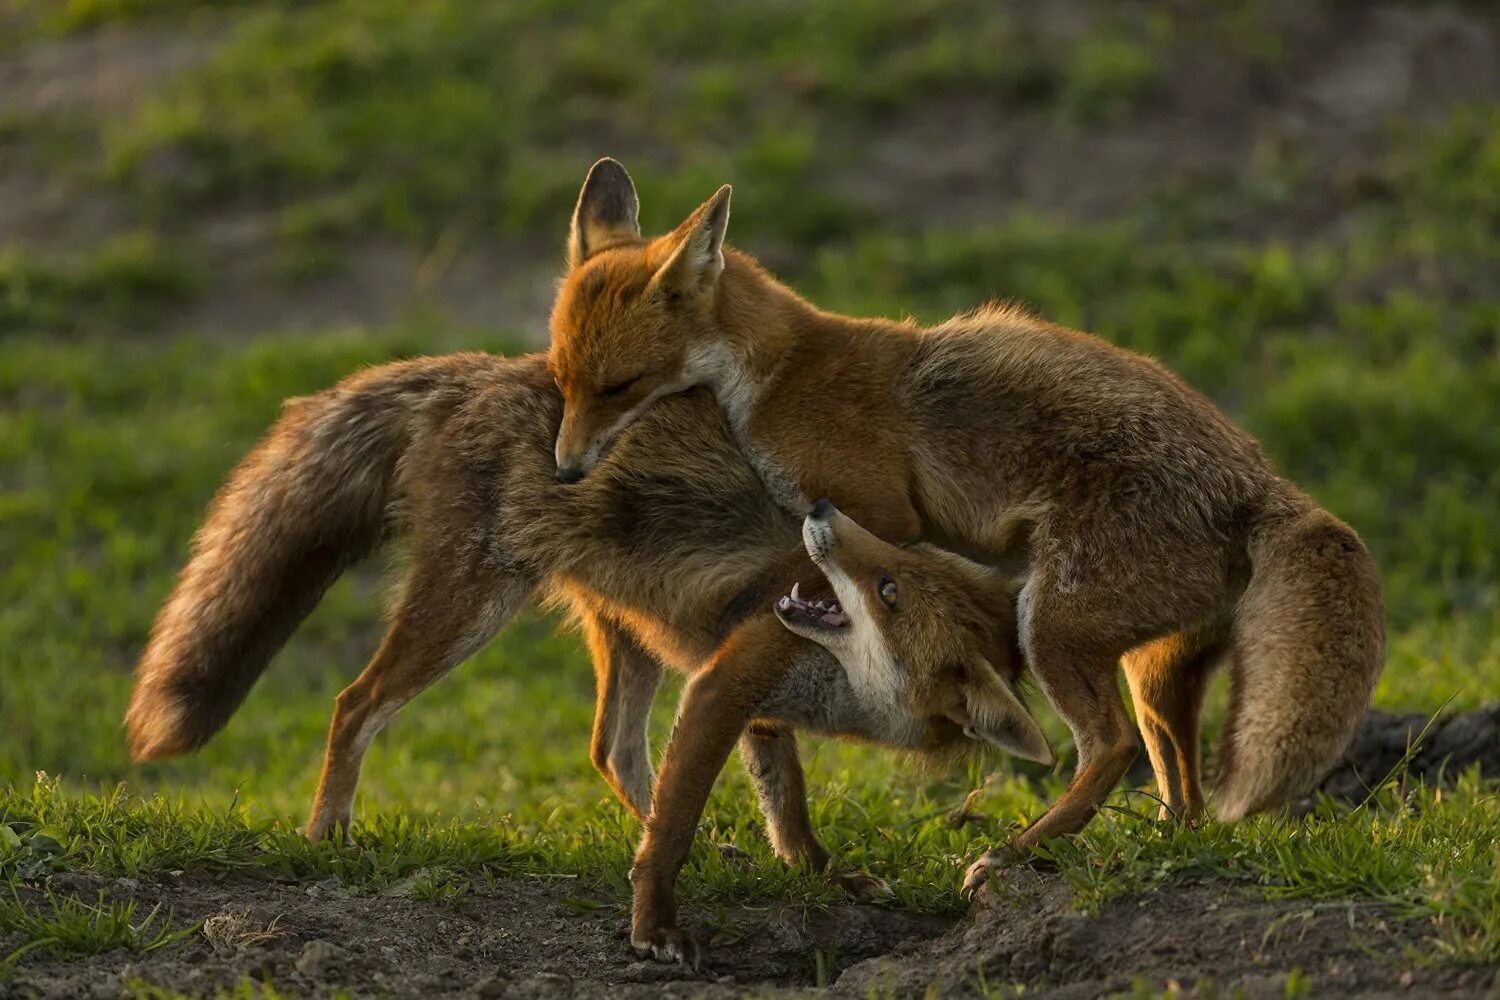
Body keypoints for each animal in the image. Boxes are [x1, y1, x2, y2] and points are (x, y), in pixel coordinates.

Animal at [123, 353, 1044, 971]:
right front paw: (655, 926)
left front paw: (823, 877)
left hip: (626, 633)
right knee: (355, 703)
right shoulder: (733, 675)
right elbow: (689, 819)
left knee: (612, 749)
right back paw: (329, 833)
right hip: (471, 609)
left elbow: (785, 811)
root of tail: (489, 369)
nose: (821, 514)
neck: (849, 692)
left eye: (892, 580)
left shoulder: (754, 693)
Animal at [549, 162, 1380, 899]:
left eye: (618, 386)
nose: (563, 472)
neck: (780, 374)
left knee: (1107, 747)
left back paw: (1014, 855)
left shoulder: (879, 511)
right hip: (1151, 665)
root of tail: (1265, 483)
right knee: (1181, 775)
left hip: (1054, 624)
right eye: (563, 381)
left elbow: (830, 563)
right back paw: (1152, 849)